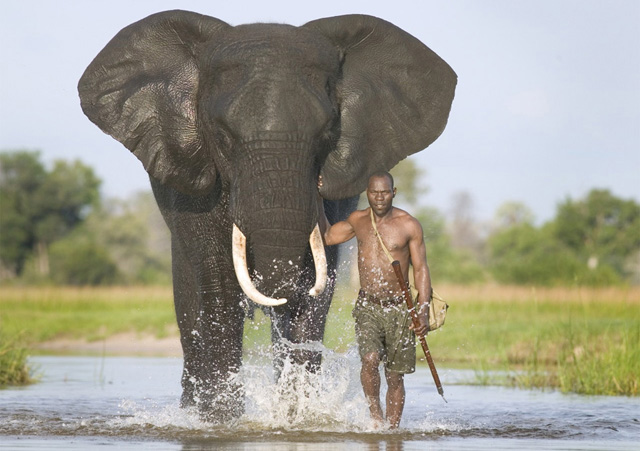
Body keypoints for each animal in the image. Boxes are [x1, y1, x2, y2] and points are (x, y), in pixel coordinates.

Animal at [78, 10, 456, 421]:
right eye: (222, 136)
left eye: (327, 133)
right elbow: (218, 286)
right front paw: (223, 421)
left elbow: (315, 287)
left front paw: (298, 418)